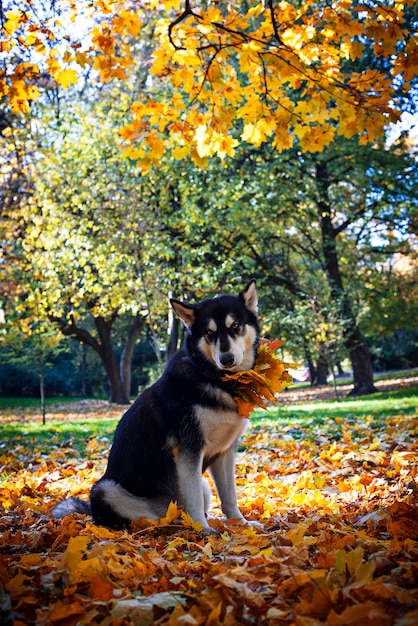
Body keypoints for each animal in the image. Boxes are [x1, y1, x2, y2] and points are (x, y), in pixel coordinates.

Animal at [52, 280, 260, 528]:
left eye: (235, 326)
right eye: (209, 332)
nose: (226, 359)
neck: (216, 378)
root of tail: (91, 512)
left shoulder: (225, 451)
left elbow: (230, 496)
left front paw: (241, 524)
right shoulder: (188, 451)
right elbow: (194, 499)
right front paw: (202, 528)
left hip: (202, 486)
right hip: (105, 489)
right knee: (150, 517)